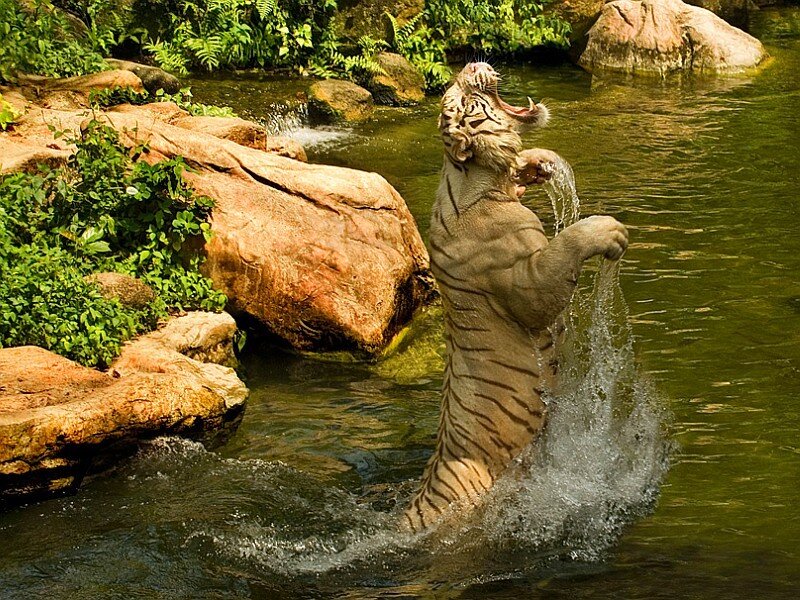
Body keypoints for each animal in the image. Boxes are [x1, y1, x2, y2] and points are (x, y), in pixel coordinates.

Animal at [402, 62, 629, 531]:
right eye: (464, 100)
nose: (470, 64)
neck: (478, 179)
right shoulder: (529, 281)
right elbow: (564, 250)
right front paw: (608, 230)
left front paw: (538, 162)